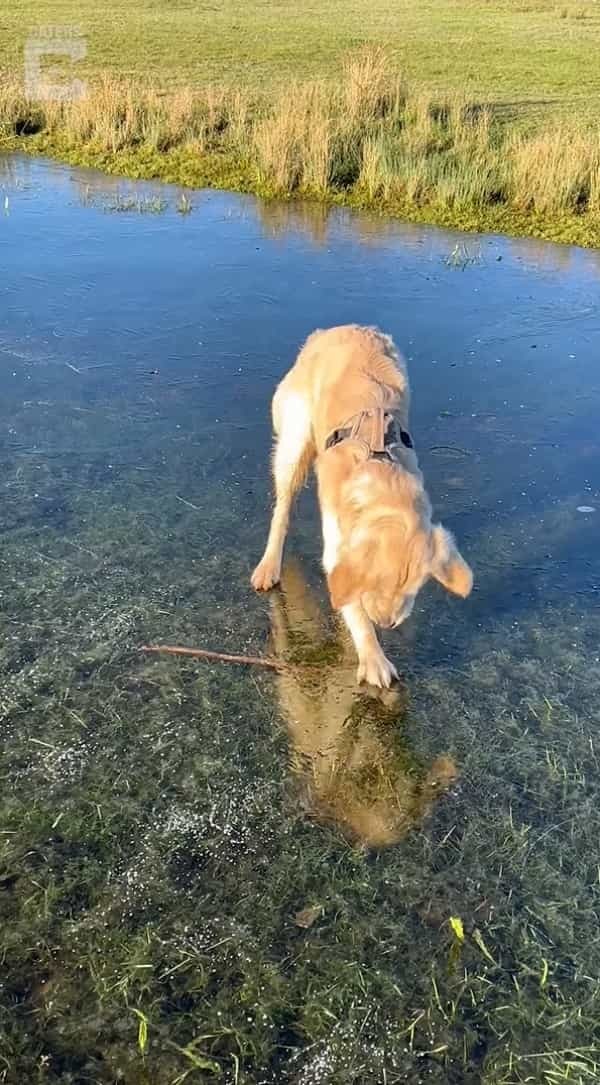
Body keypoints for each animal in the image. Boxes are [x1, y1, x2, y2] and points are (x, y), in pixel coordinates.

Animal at [250, 325, 470, 690]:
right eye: (374, 583)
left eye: (413, 589)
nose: (386, 623)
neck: (381, 474)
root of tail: (335, 330)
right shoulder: (338, 547)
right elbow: (352, 602)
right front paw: (373, 656)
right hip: (295, 442)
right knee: (282, 507)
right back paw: (269, 565)